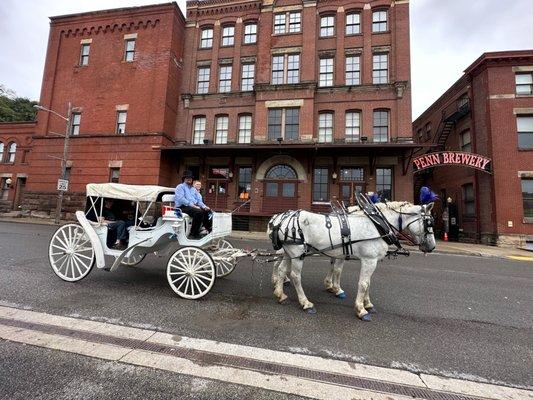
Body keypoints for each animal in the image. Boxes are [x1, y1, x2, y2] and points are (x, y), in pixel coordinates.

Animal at [268, 203, 434, 322]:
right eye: (429, 223)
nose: (432, 247)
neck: (377, 225)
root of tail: (280, 219)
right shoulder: (368, 260)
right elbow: (363, 284)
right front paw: (361, 309)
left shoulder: (363, 259)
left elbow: (363, 280)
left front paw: (366, 303)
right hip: (297, 253)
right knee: (295, 276)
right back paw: (305, 303)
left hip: (290, 253)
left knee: (282, 269)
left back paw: (280, 294)